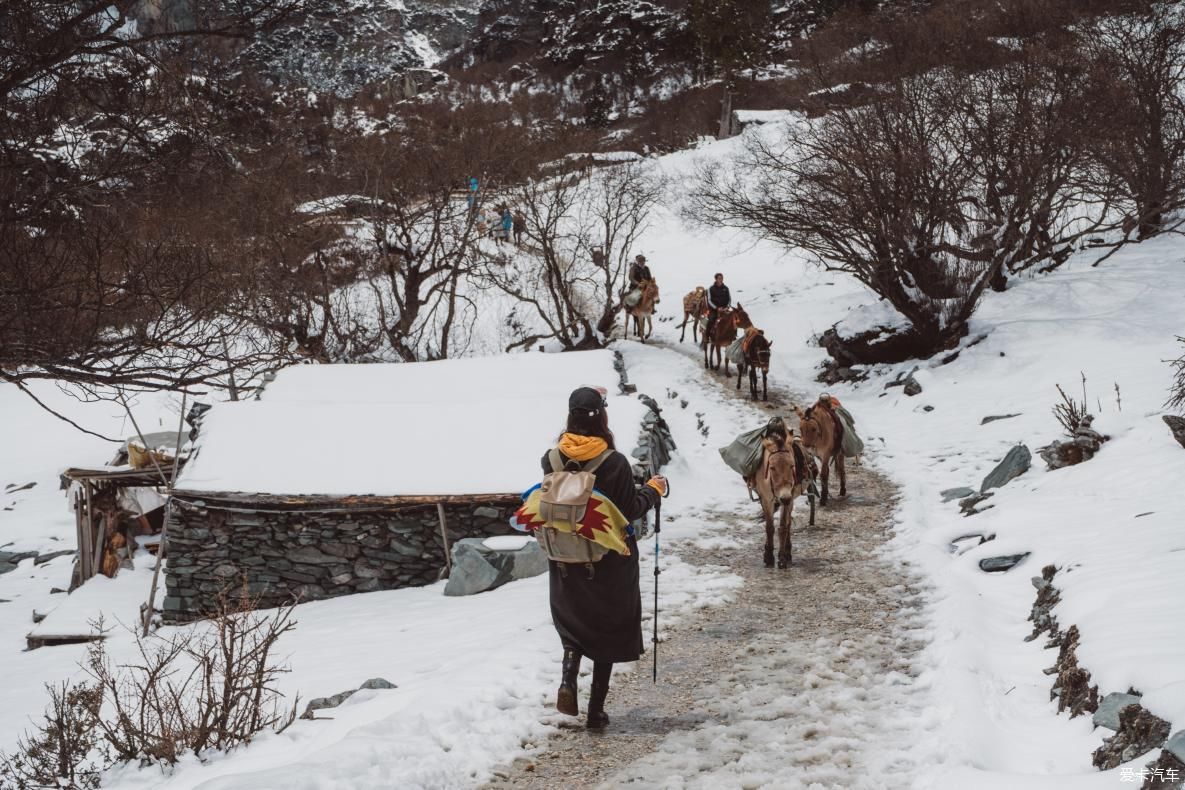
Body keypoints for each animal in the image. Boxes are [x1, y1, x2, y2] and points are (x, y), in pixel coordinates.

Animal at [753, 428, 801, 566]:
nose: (784, 498)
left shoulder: (788, 498)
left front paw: (782, 558)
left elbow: (783, 527)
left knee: (788, 523)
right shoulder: (766, 499)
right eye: (772, 467)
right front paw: (768, 556)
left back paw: (788, 552)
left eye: (792, 465)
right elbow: (769, 527)